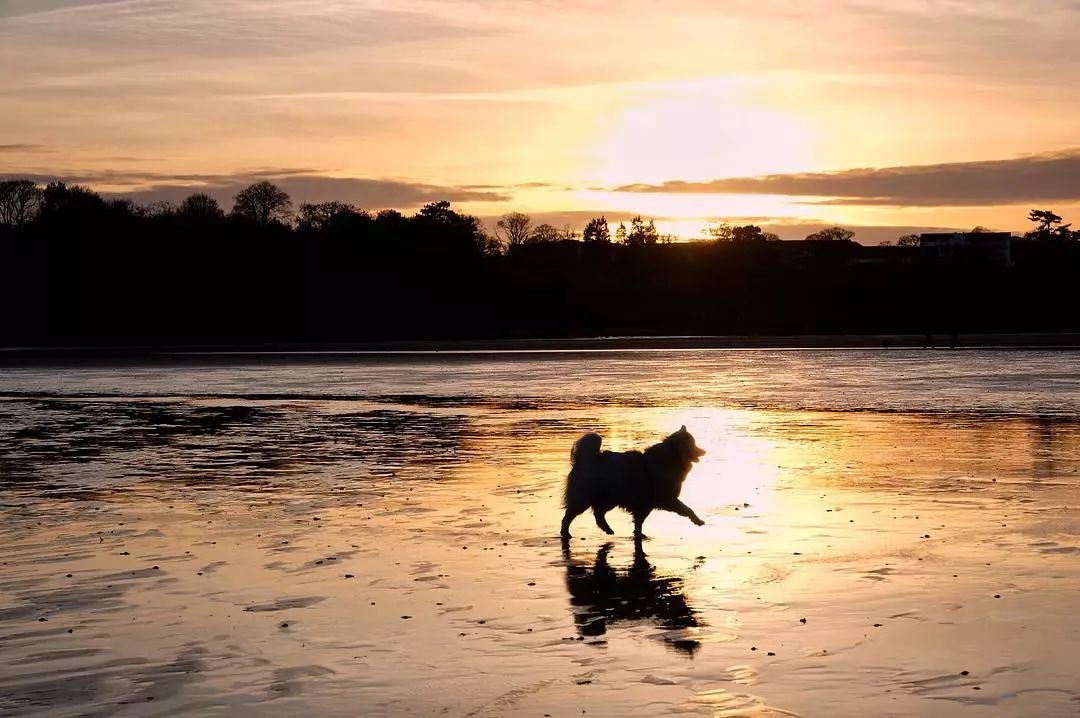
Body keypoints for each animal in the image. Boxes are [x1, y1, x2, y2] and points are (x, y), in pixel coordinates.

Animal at [557, 425, 708, 537]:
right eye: (693, 445)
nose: (704, 451)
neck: (673, 457)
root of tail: (584, 459)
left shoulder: (646, 504)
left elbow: (639, 522)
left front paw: (639, 534)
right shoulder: (667, 499)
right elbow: (688, 510)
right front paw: (698, 521)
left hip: (609, 498)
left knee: (598, 514)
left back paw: (607, 529)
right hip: (585, 499)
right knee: (568, 516)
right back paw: (566, 533)